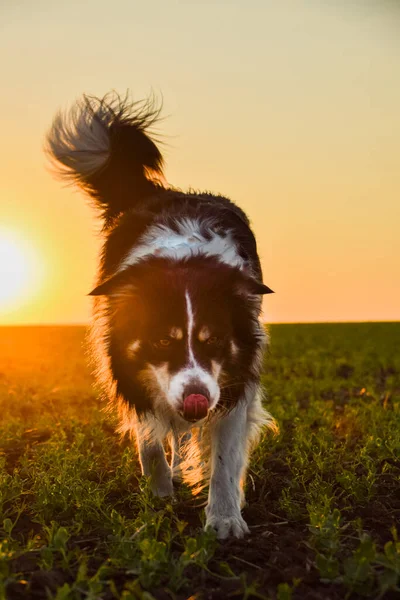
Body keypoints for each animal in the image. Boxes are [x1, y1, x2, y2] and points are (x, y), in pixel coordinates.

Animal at [46, 92, 276, 540]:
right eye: (162, 340)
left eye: (214, 339)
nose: (195, 402)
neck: (184, 262)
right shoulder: (133, 373)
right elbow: (150, 441)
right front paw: (159, 498)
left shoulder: (234, 378)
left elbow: (224, 455)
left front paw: (225, 518)